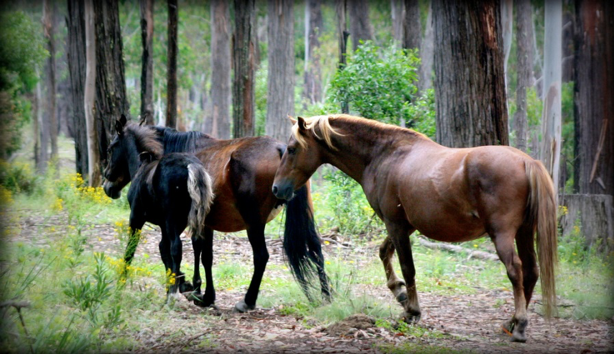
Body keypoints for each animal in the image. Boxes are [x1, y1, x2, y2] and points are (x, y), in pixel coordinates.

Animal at [124, 145, 214, 298]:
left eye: (112, 148)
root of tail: (191, 165)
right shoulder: (166, 224)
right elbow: (164, 250)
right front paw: (181, 280)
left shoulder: (136, 217)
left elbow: (131, 247)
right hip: (195, 219)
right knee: (197, 244)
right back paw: (195, 287)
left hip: (171, 218)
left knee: (177, 247)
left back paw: (172, 294)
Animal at [274, 115, 560, 342]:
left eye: (292, 149)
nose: (277, 188)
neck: (385, 155)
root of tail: (526, 162)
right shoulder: (403, 226)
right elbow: (384, 253)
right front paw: (399, 294)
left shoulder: (396, 225)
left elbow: (407, 268)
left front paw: (411, 312)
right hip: (524, 232)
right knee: (531, 272)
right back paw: (510, 322)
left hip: (503, 234)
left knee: (516, 271)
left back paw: (519, 325)